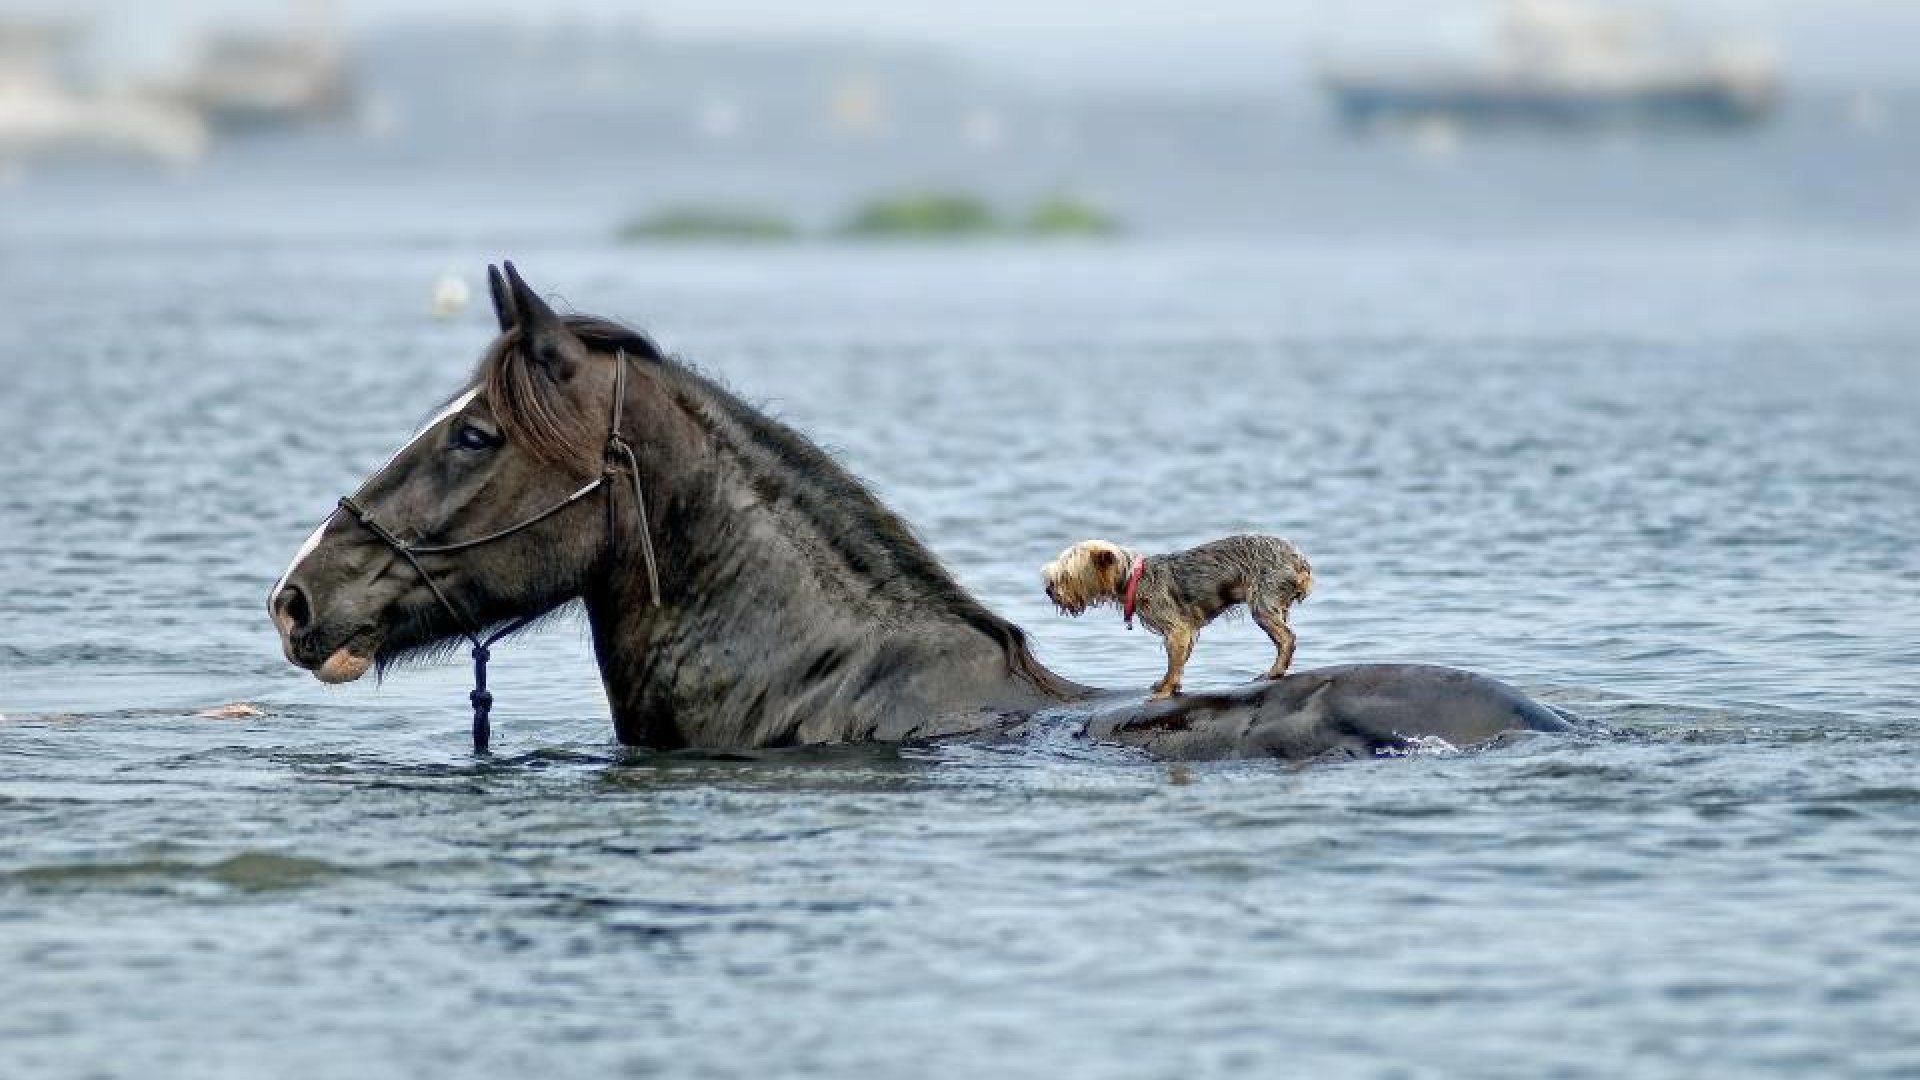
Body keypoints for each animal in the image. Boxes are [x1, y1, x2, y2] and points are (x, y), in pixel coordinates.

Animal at [1044, 534, 1313, 703]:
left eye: (1066, 576)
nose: (1048, 590)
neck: (1133, 579)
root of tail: (1299, 561)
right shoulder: (1187, 632)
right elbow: (1180, 662)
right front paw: (1168, 686)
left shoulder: (1177, 629)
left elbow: (1174, 664)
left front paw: (1163, 692)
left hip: (1263, 599)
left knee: (1287, 638)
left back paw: (1274, 672)